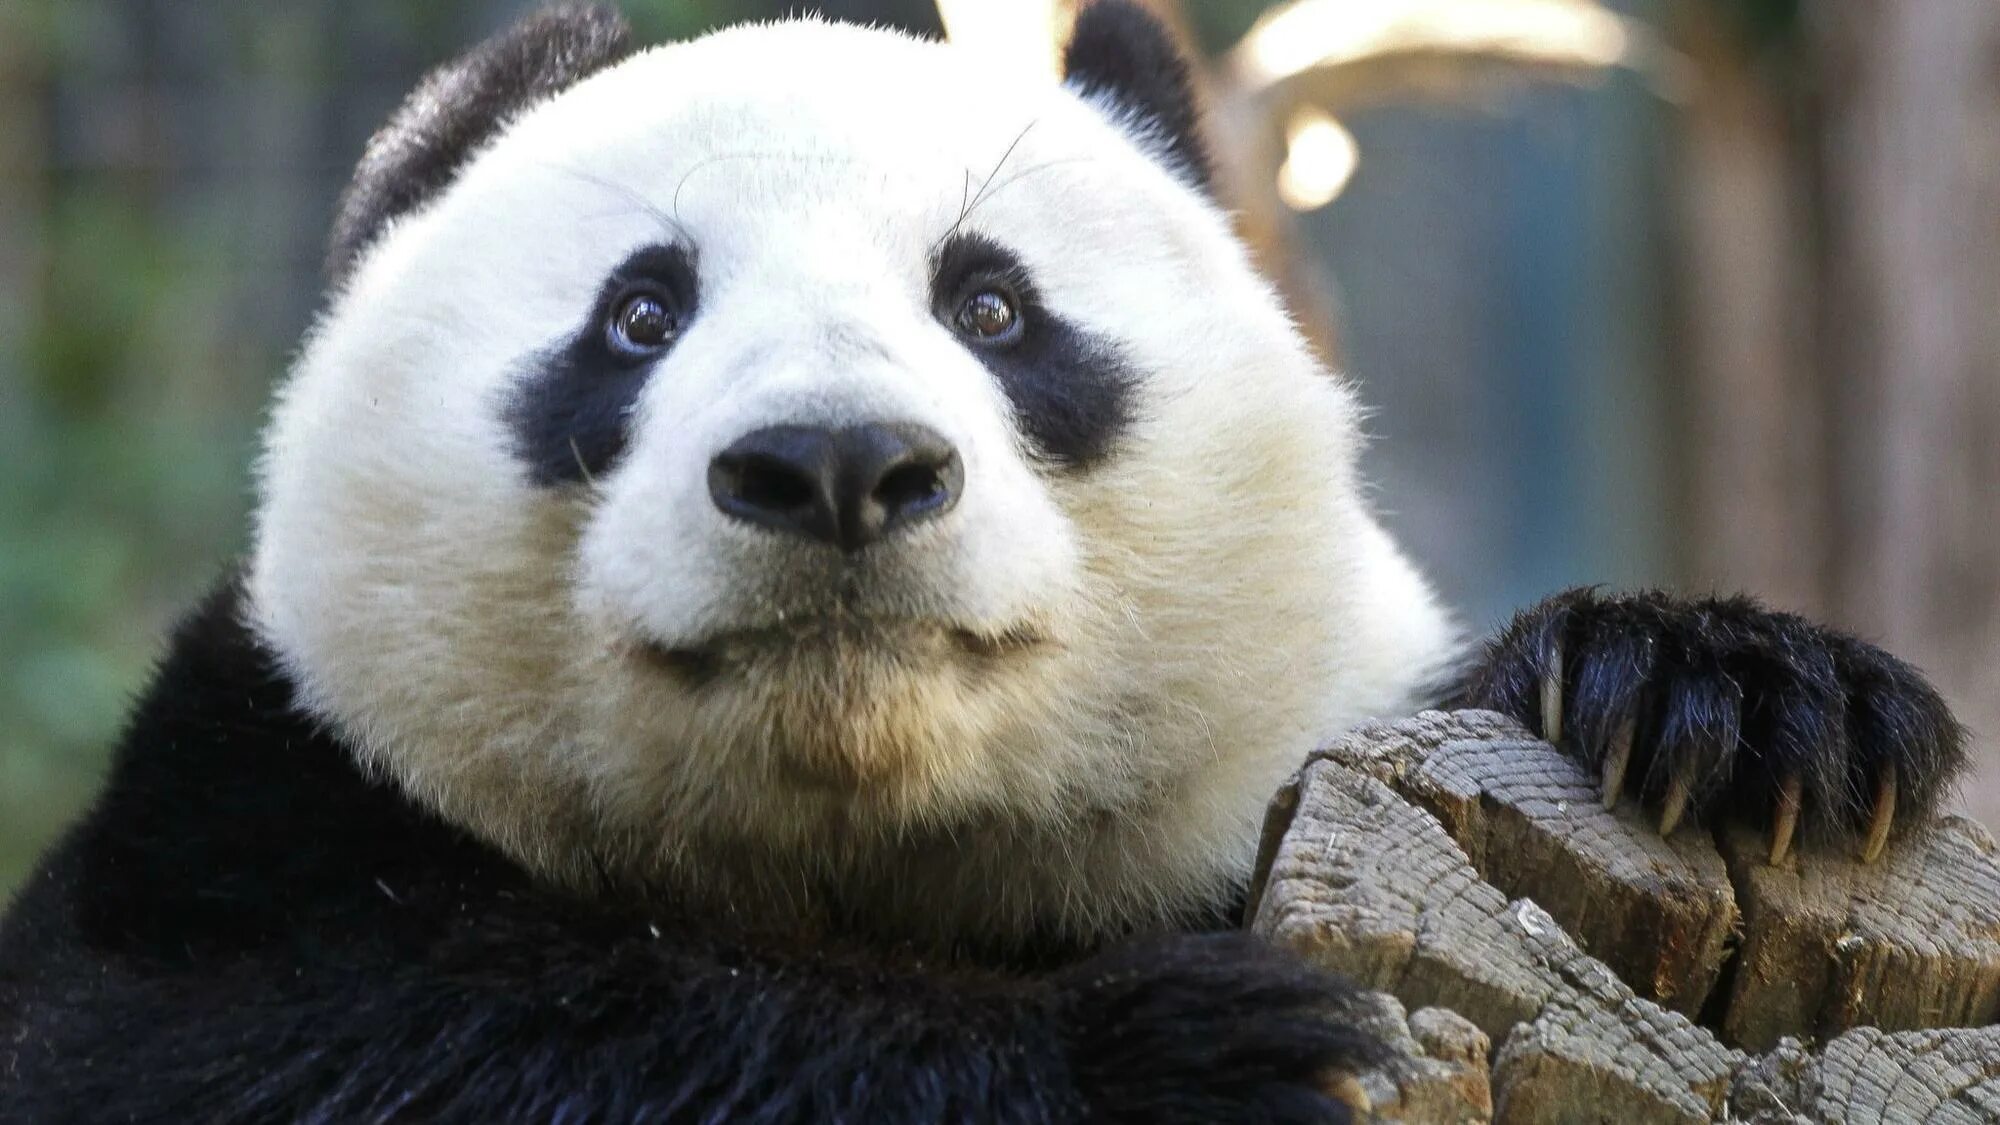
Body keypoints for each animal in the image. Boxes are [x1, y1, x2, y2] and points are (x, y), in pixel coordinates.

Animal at [0, 3, 1966, 1122]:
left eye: (995, 305)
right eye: (640, 315)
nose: (836, 468)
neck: (868, 850)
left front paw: (1740, 709)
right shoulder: (233, 821)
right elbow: (321, 1035)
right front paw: (1190, 1059)